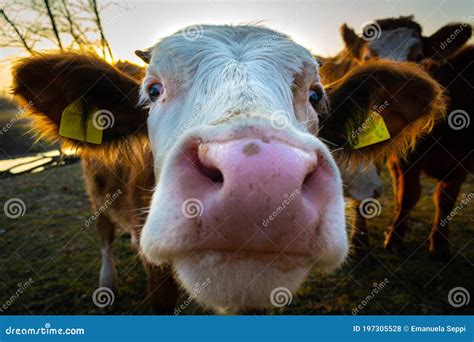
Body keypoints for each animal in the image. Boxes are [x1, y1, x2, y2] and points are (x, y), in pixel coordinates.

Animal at [320, 16, 472, 260]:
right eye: (367, 57)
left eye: (418, 57)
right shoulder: (403, 160)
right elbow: (408, 194)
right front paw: (375, 244)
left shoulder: (461, 160)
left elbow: (445, 198)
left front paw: (439, 247)